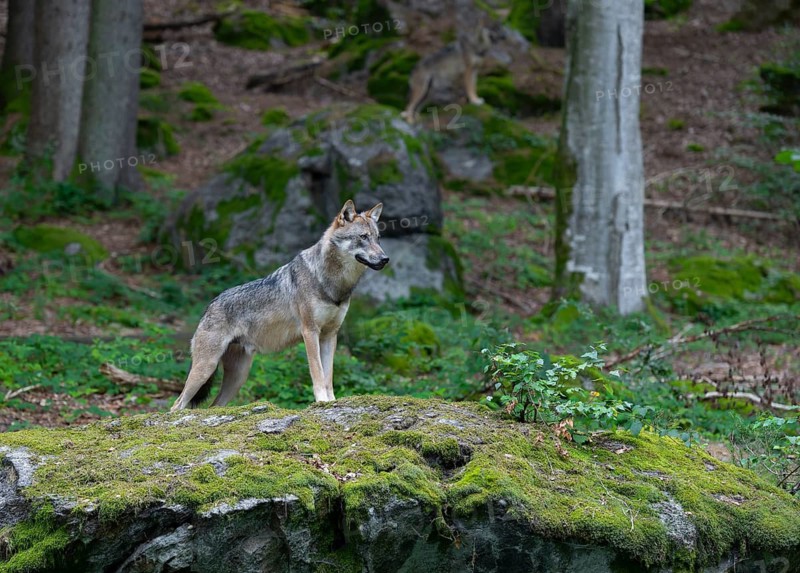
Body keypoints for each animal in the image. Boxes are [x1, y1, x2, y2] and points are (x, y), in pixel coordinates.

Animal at [170, 200, 389, 410]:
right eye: (363, 237)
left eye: (378, 238)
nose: (385, 259)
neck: (332, 283)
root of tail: (209, 306)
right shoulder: (310, 332)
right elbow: (317, 373)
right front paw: (321, 402)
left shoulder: (330, 335)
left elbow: (328, 377)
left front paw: (332, 402)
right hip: (205, 369)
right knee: (177, 405)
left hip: (238, 378)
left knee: (213, 406)